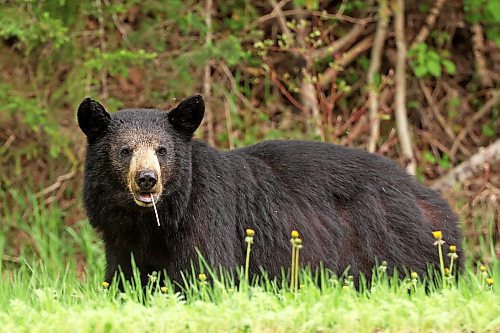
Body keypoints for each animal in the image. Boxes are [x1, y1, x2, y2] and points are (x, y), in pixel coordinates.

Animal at [76, 94, 462, 286]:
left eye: (162, 150)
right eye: (124, 150)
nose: (147, 179)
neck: (155, 221)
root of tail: (440, 206)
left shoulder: (207, 216)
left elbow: (207, 272)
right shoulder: (120, 238)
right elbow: (123, 278)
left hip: (396, 247)